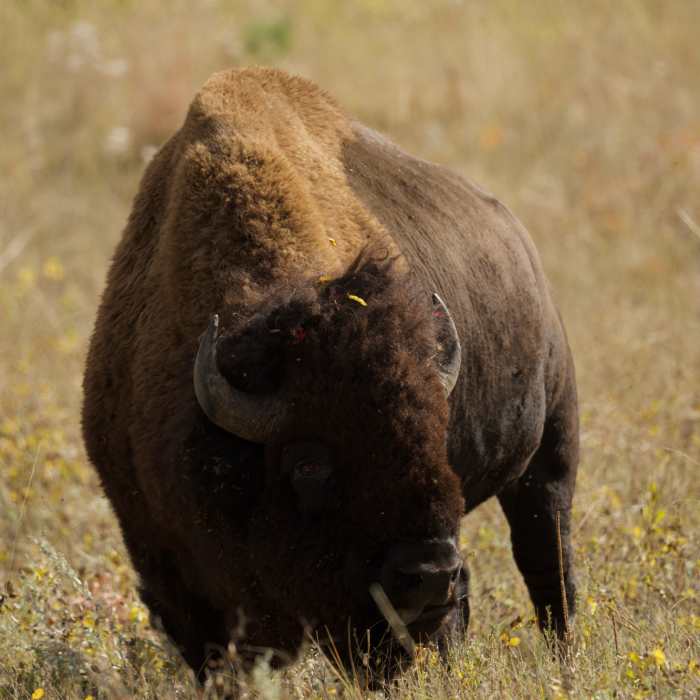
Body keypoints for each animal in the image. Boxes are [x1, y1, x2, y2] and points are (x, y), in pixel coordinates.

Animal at [82, 67, 578, 683]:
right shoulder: (169, 568)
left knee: (547, 561)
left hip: (550, 452)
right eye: (308, 463)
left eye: (438, 438)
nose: (428, 572)